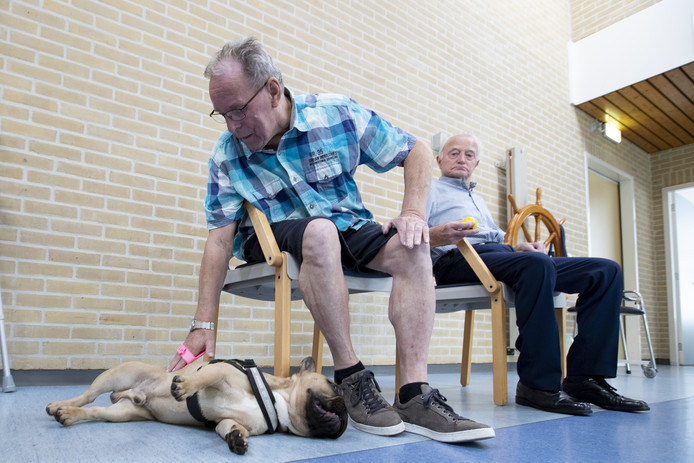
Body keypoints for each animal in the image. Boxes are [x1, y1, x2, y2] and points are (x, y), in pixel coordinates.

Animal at [45, 358, 348, 454]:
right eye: (334, 387)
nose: (346, 407)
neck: (276, 400)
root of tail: (132, 393)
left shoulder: (228, 421)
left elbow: (228, 426)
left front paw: (236, 439)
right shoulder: (221, 372)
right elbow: (203, 376)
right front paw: (184, 386)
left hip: (123, 413)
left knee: (96, 411)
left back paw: (67, 414)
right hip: (118, 375)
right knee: (87, 396)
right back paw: (59, 404)